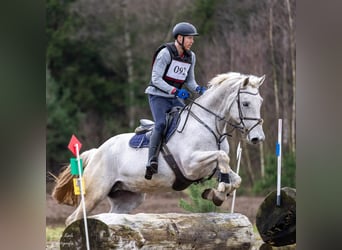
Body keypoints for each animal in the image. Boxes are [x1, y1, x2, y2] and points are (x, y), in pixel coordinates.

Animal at [52, 71, 268, 226]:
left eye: (260, 102)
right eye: (245, 103)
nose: (257, 138)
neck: (209, 124)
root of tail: (97, 152)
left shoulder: (208, 167)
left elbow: (234, 177)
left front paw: (217, 194)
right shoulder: (190, 165)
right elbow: (223, 156)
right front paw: (221, 189)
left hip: (127, 198)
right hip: (95, 193)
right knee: (73, 218)